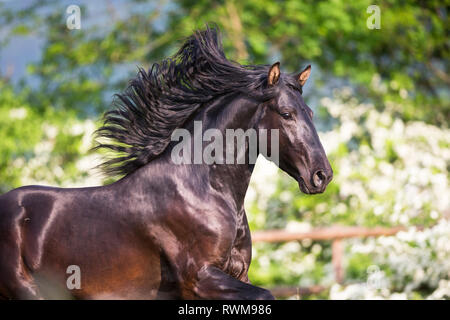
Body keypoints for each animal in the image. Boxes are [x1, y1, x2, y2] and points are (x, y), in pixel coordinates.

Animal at [0, 27, 330, 300]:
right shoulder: (198, 278)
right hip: (26, 292)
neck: (204, 191)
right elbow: (266, 294)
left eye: (311, 113)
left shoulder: (236, 272)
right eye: (286, 113)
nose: (322, 175)